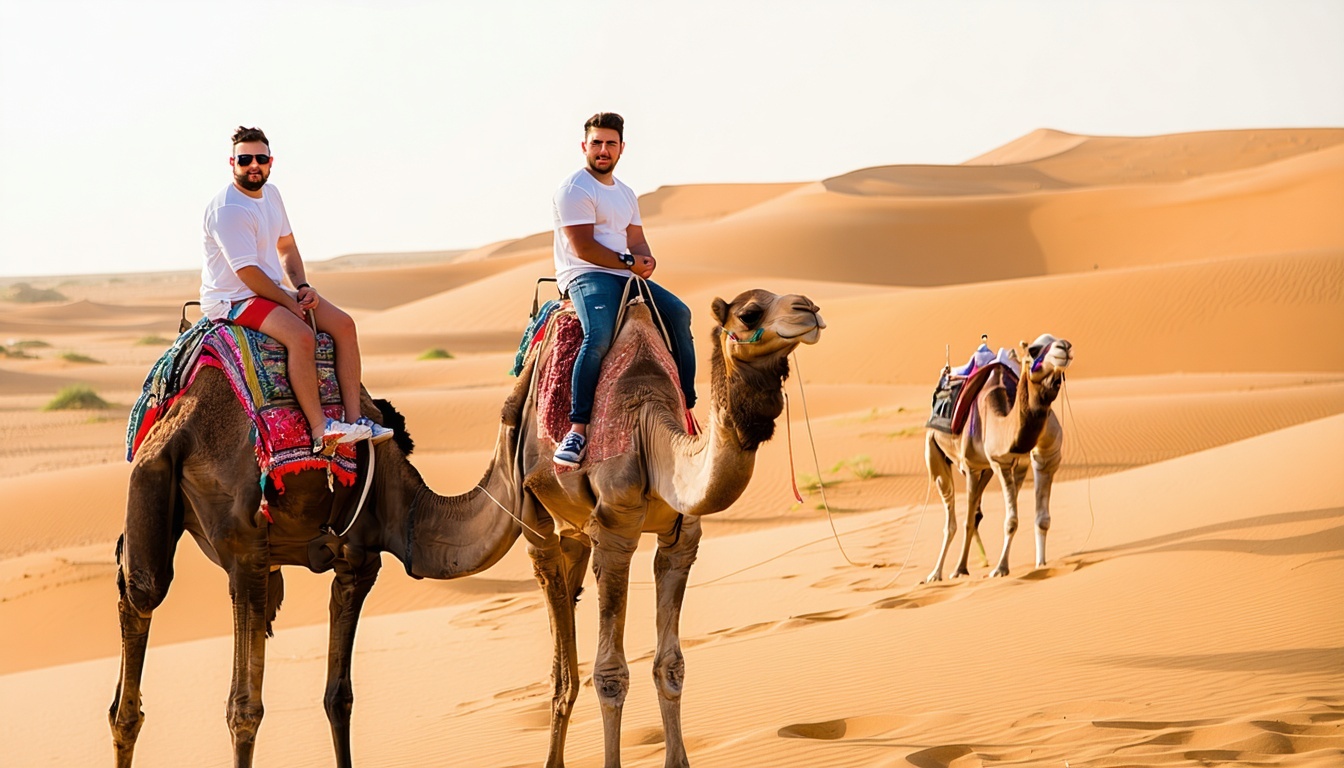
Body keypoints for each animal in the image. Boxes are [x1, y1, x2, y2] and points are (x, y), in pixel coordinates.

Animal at [110, 366, 530, 767]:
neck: (408, 508)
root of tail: (175, 427)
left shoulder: (357, 564)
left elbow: (339, 697)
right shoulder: (277, 556)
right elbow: (244, 708)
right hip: (199, 513)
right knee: (144, 595)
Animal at [515, 288, 824, 768]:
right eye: (750, 313)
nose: (808, 308)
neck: (649, 432)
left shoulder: (682, 540)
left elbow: (671, 664)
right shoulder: (615, 533)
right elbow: (610, 674)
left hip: (576, 531)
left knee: (568, 582)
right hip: (533, 513)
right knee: (550, 586)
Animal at [924, 335, 1074, 582]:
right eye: (1034, 350)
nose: (1065, 346)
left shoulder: (1033, 460)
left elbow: (1039, 519)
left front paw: (1041, 564)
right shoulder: (978, 465)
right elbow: (993, 520)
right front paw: (994, 569)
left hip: (987, 470)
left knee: (975, 514)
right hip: (936, 455)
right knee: (953, 517)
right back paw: (937, 573)